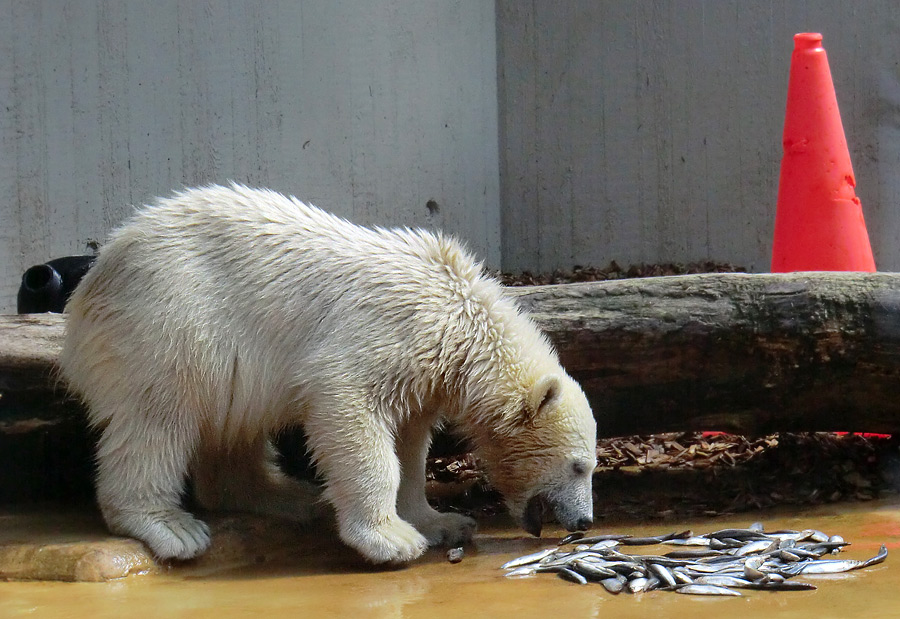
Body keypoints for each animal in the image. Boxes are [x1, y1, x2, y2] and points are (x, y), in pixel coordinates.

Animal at [61, 183, 596, 560]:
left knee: (234, 424)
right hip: (171, 321)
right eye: (579, 465)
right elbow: (348, 406)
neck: (460, 315)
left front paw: (442, 521)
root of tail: (94, 278)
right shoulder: (389, 333)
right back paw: (170, 525)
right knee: (157, 415)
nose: (585, 522)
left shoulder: (424, 376)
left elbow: (410, 445)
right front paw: (391, 540)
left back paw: (288, 495)